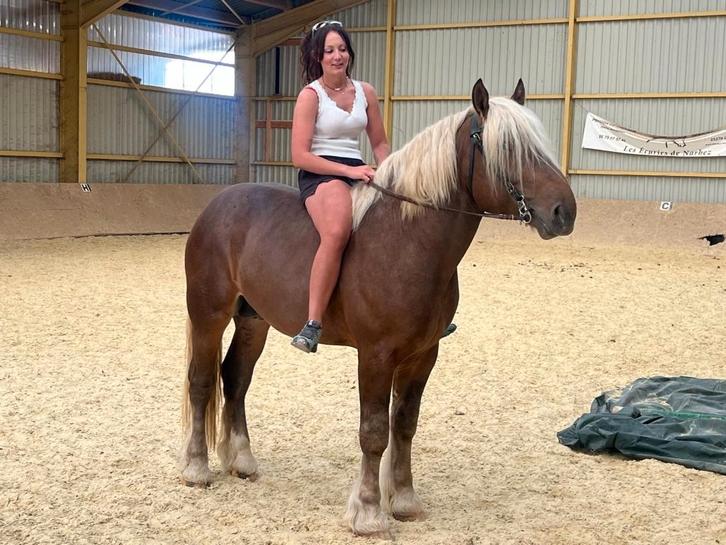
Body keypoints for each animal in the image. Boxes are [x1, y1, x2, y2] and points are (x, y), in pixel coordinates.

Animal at [180, 78, 576, 535]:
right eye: (509, 149)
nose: (565, 211)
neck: (408, 241)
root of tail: (218, 205)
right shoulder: (375, 355)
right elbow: (373, 432)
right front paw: (368, 512)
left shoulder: (423, 355)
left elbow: (404, 425)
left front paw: (403, 500)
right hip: (208, 315)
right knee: (202, 381)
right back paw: (196, 468)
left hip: (253, 321)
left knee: (236, 378)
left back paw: (242, 460)